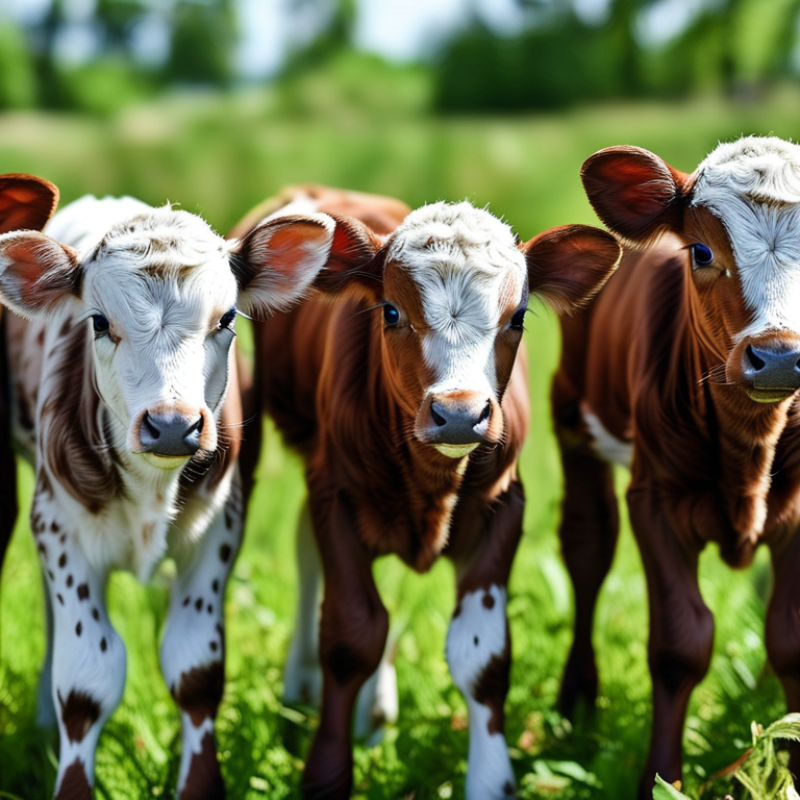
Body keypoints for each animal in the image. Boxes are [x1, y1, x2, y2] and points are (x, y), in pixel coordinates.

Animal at [0, 187, 343, 800]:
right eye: (98, 321)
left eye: (226, 318)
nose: (171, 425)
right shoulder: (61, 529)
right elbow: (85, 679)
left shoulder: (218, 531)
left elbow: (196, 670)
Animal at [232, 184, 622, 799]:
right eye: (391, 312)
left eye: (517, 318)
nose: (459, 413)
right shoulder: (337, 497)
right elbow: (351, 635)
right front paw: (325, 773)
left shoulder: (502, 507)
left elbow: (482, 654)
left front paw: (490, 780)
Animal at [552, 136, 800, 796]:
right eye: (702, 251)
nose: (780, 357)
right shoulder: (655, 502)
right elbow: (679, 644)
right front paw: (660, 778)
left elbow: (790, 638)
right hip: (573, 420)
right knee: (586, 550)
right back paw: (574, 701)